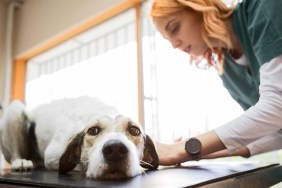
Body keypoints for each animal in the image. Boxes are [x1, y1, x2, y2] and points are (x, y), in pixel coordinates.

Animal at [0, 96, 158, 180]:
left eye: (134, 130)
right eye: (93, 130)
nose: (115, 149)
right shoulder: (51, 157)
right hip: (15, 111)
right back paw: (20, 162)